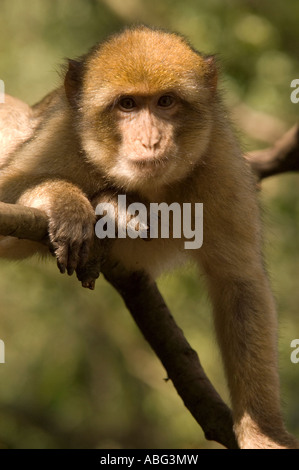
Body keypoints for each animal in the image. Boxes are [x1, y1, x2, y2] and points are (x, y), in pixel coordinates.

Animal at [0, 24, 298, 448]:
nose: (151, 140)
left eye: (165, 102)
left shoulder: (219, 160)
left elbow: (240, 282)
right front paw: (65, 202)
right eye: (127, 104)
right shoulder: (61, 138)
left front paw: (263, 431)